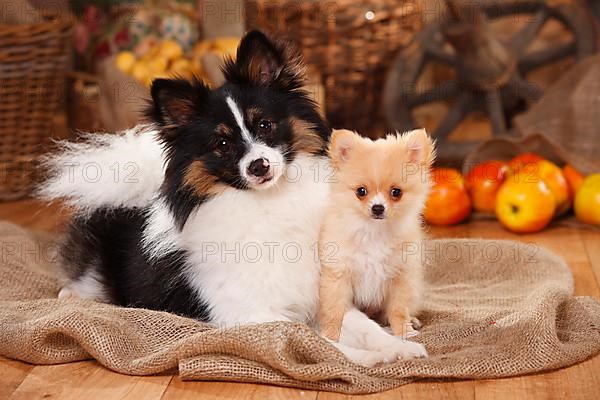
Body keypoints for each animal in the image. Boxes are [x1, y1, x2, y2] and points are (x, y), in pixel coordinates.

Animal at [39, 31, 424, 368]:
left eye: (265, 125)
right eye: (223, 144)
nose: (258, 165)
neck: (269, 202)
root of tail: (127, 200)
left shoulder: (321, 294)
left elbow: (363, 326)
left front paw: (399, 347)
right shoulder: (252, 315)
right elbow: (315, 339)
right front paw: (364, 359)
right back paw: (70, 296)